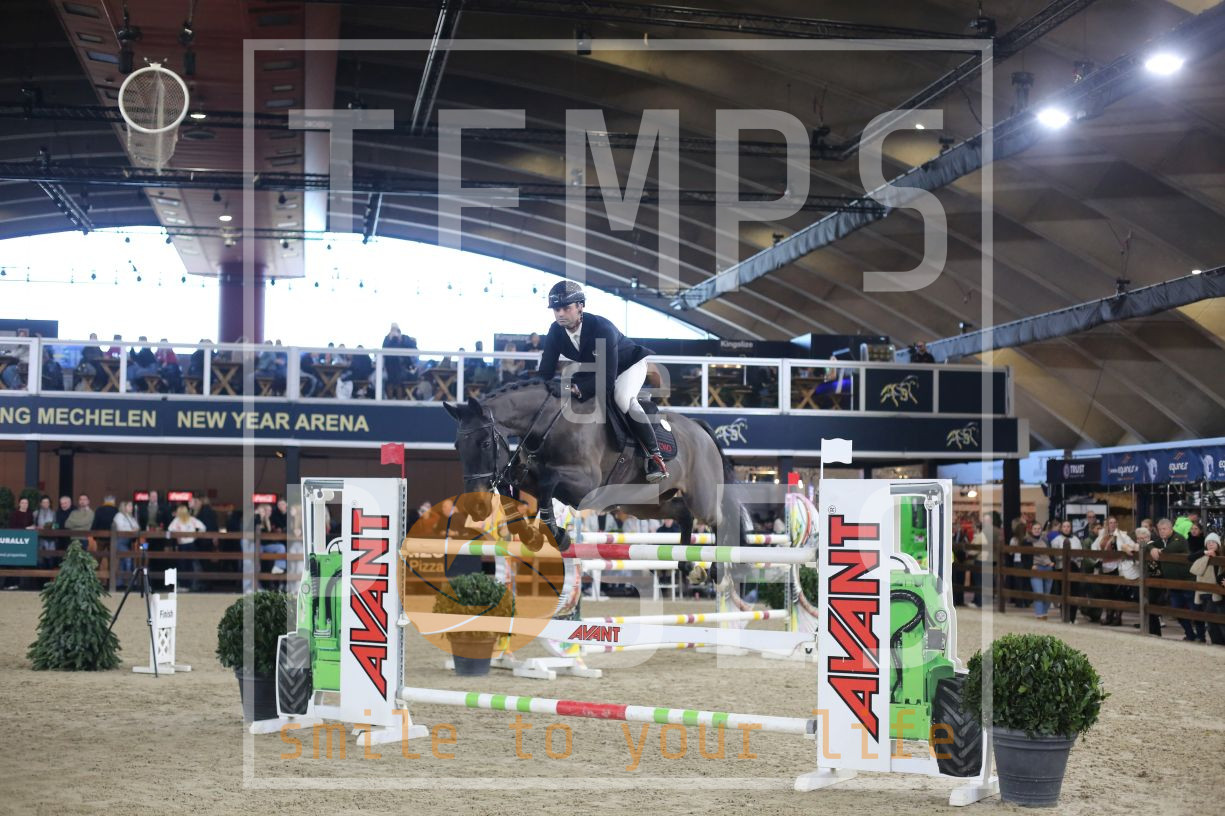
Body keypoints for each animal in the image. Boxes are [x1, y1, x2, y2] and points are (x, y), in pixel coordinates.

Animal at [443, 378, 743, 553]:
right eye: (457, 447)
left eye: (484, 443)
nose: (476, 506)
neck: (549, 424)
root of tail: (700, 428)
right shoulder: (527, 475)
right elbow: (511, 486)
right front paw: (528, 534)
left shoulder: (585, 486)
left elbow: (548, 484)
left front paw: (559, 536)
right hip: (642, 503)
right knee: (682, 513)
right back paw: (687, 566)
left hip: (701, 496)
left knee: (719, 520)